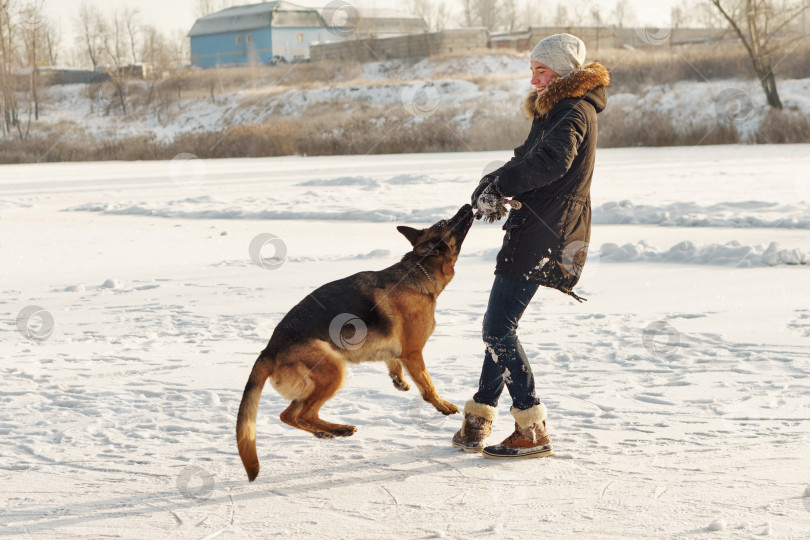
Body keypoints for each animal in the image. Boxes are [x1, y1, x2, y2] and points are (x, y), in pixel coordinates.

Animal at [234, 204, 474, 480]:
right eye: (449, 223)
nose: (469, 205)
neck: (418, 270)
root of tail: (269, 350)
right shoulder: (414, 353)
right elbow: (428, 385)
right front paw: (442, 406)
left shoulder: (399, 352)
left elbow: (393, 362)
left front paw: (398, 380)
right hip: (334, 370)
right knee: (298, 414)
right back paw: (339, 429)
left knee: (291, 415)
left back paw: (326, 431)